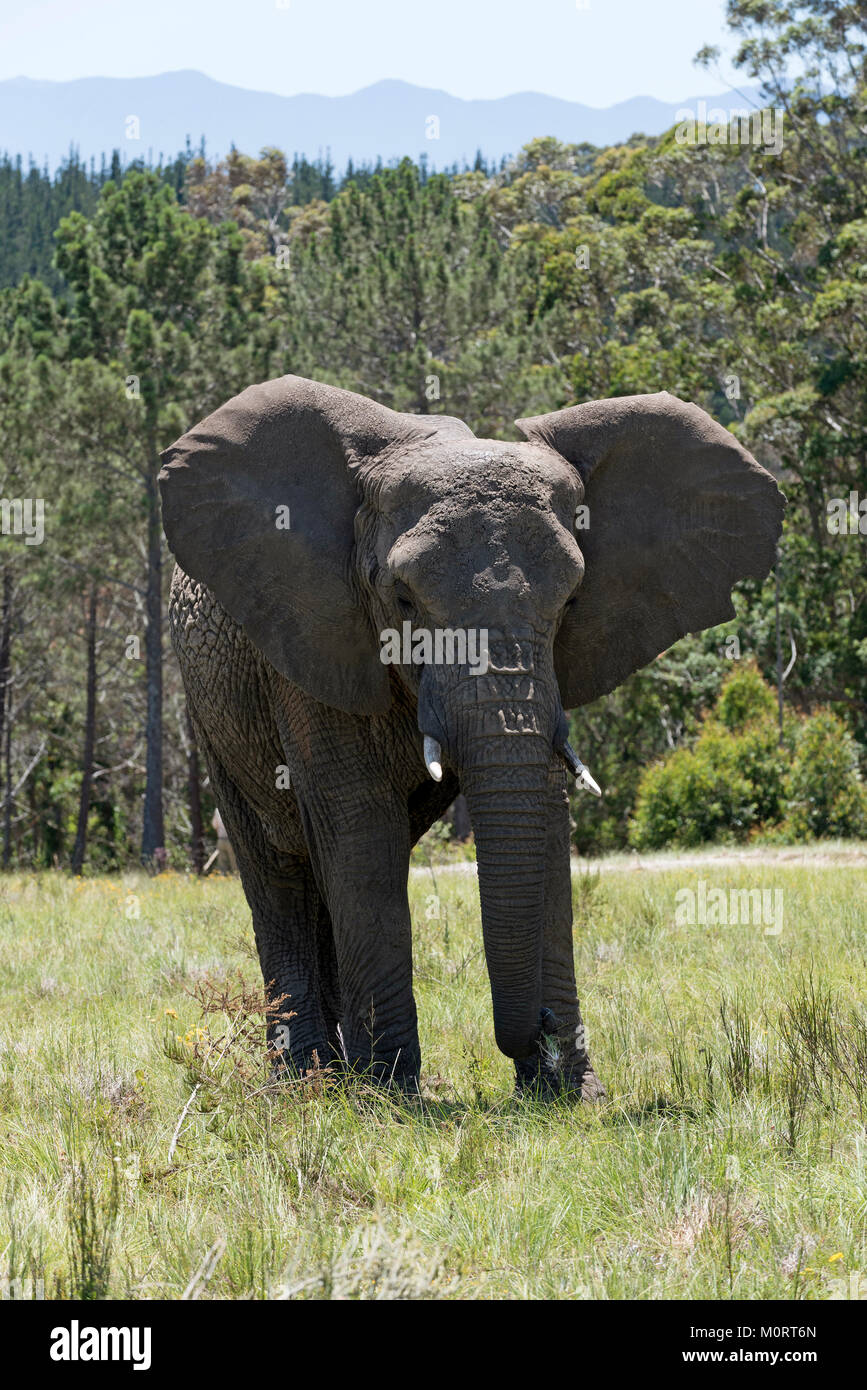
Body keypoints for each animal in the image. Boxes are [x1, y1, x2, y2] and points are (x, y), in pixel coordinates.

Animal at [159, 375, 784, 1098]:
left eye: (571, 601)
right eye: (402, 599)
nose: (540, 1027)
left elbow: (543, 818)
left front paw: (569, 1094)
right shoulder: (313, 637)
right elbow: (357, 825)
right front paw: (387, 1094)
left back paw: (333, 1072)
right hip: (212, 709)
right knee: (280, 870)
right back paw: (303, 1081)